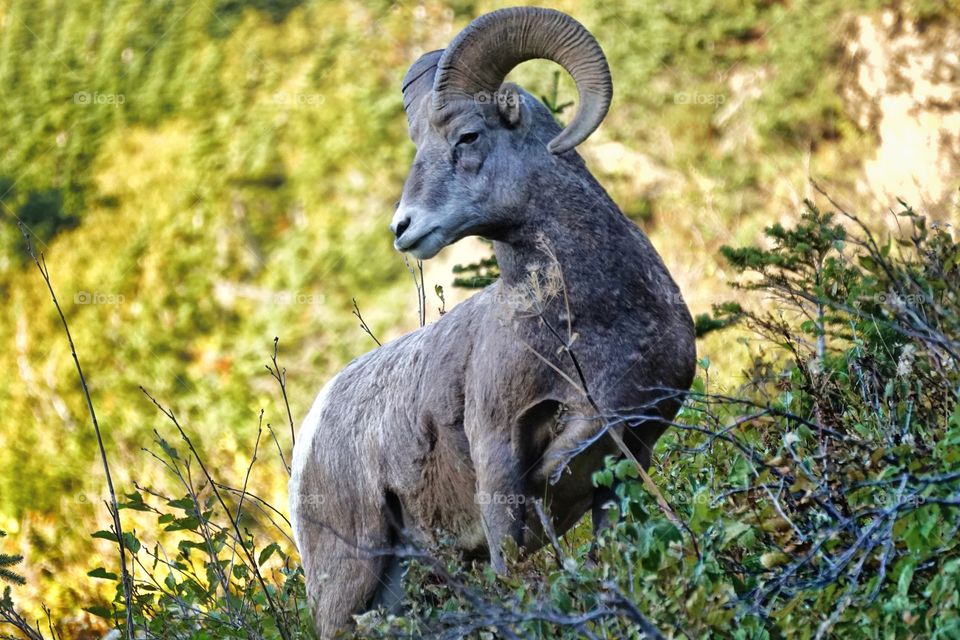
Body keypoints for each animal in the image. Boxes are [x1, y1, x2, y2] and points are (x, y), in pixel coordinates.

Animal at [288, 7, 692, 636]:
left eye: (468, 136)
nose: (402, 228)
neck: (591, 324)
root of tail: (308, 436)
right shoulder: (498, 453)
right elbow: (513, 560)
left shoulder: (631, 452)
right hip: (348, 581)